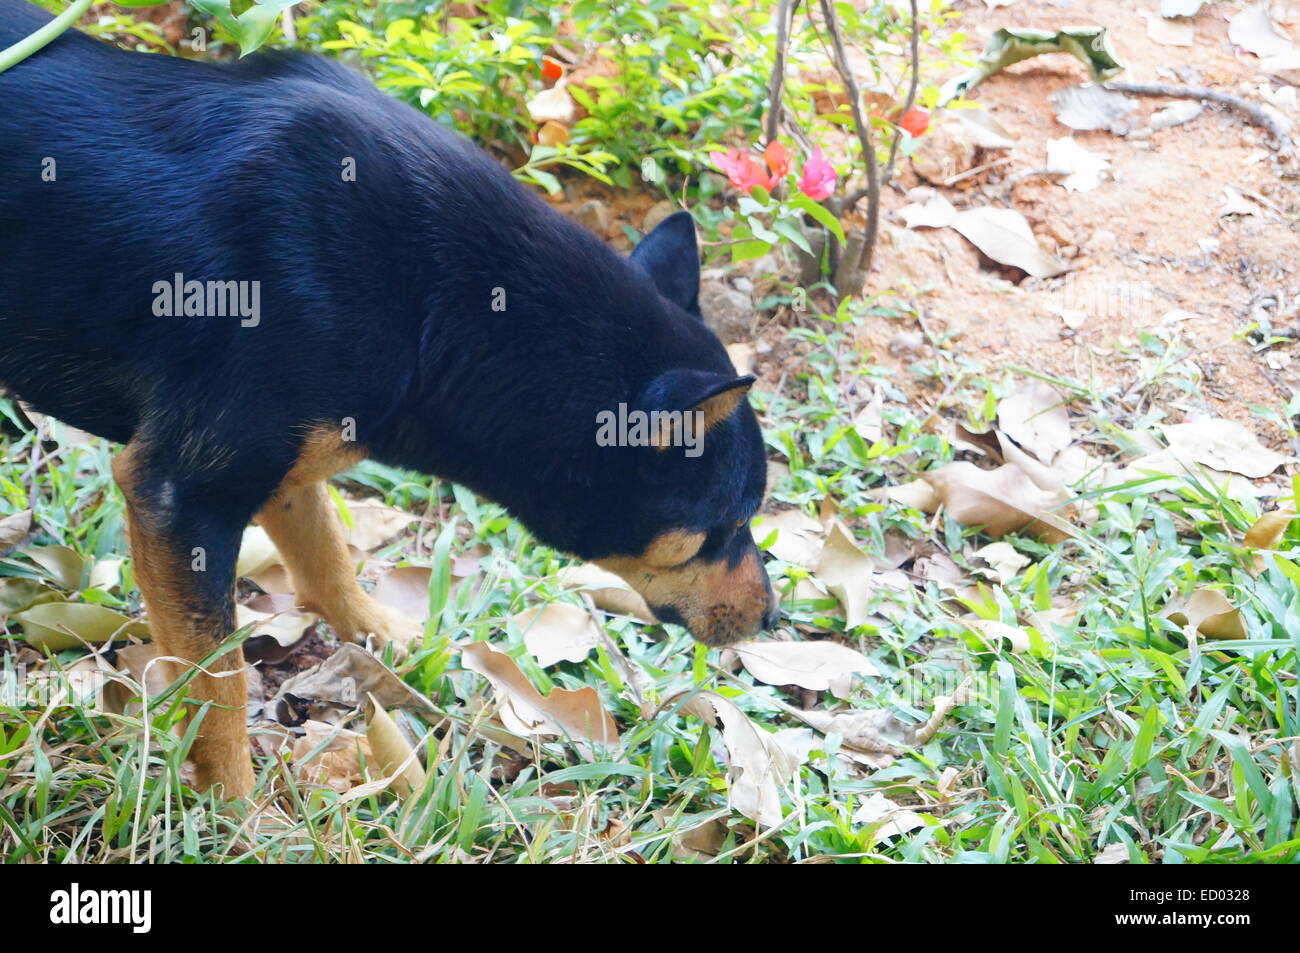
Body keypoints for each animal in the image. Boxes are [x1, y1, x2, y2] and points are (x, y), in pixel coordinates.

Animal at [0, 1, 769, 795]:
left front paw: (389, 640)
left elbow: (326, 557)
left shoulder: (289, 456)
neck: (442, 303)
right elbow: (220, 686)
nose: (772, 617)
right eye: (731, 523)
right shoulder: (181, 496)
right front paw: (234, 808)